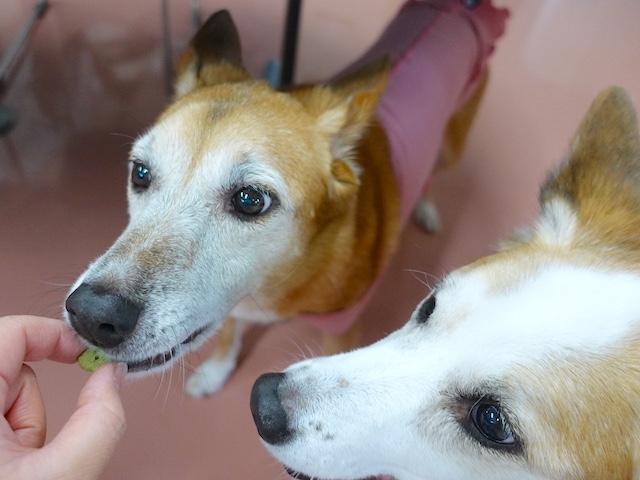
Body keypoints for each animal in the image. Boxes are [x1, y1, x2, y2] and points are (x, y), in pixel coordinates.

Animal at [63, 1, 504, 396]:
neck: (281, 276)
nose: (89, 315)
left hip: (451, 145)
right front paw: (216, 373)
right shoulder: (235, 301)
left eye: (250, 200)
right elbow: (228, 333)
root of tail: (456, 9)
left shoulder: (343, 330)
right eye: (140, 173)